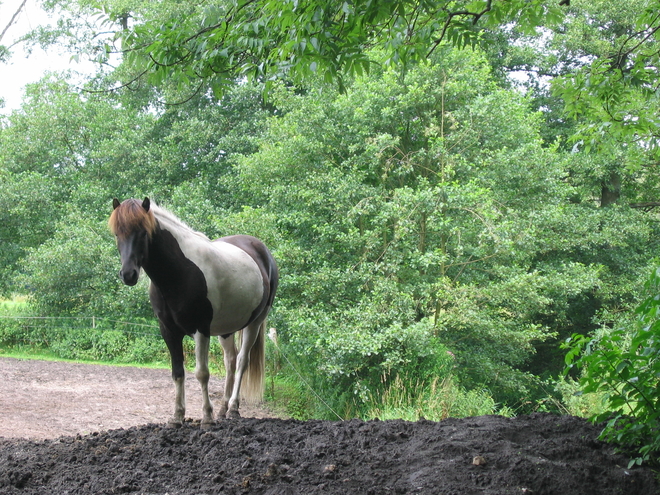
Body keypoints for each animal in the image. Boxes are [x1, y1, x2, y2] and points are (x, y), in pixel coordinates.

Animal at [107, 198, 278, 426]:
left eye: (143, 233)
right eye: (118, 234)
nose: (128, 274)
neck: (179, 272)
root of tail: (260, 248)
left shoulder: (201, 330)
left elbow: (202, 373)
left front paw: (206, 416)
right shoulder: (168, 331)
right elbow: (178, 372)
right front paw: (177, 416)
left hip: (255, 322)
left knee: (242, 361)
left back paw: (233, 408)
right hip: (226, 329)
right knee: (230, 362)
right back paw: (223, 409)